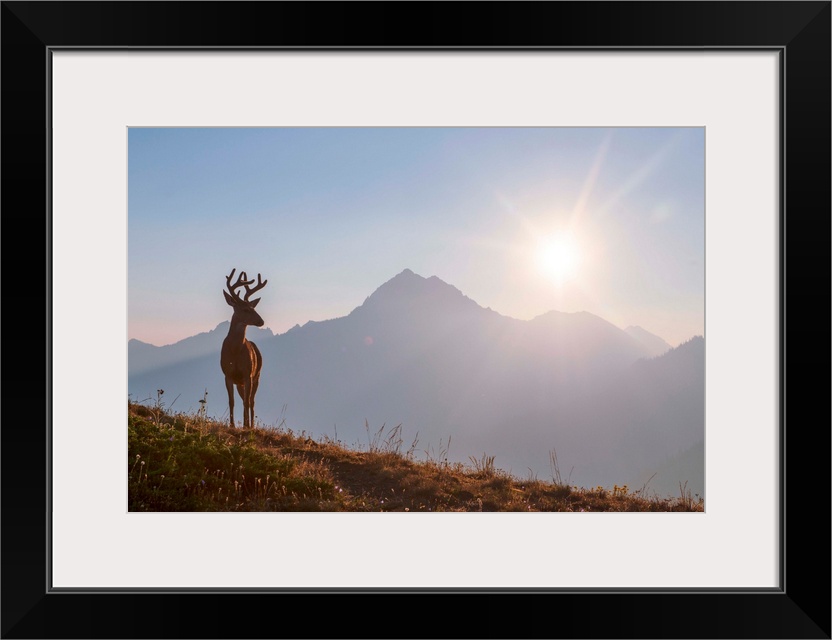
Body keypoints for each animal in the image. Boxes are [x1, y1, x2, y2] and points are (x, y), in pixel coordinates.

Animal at [219, 268, 268, 428]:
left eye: (253, 307)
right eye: (246, 309)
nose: (261, 321)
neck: (235, 351)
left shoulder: (248, 374)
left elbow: (246, 402)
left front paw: (246, 426)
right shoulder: (227, 374)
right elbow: (232, 401)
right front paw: (232, 425)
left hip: (257, 376)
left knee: (251, 402)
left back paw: (251, 425)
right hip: (241, 383)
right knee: (244, 400)